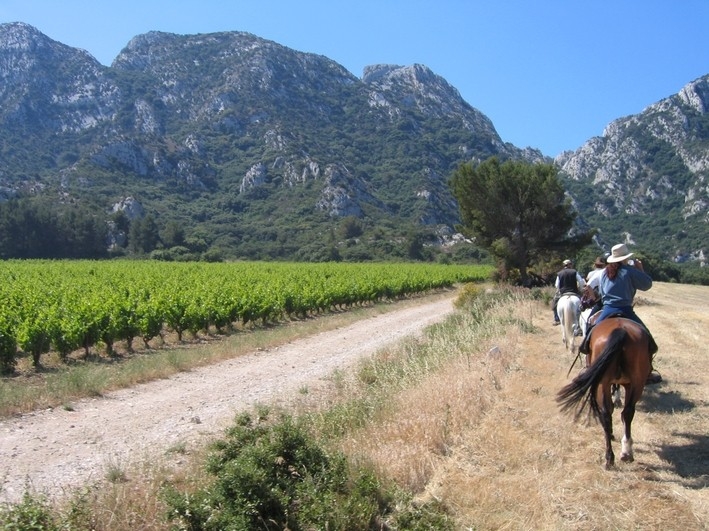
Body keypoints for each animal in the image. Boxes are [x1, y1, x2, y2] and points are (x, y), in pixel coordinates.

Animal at [556, 316, 648, 470]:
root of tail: (621, 331)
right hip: (633, 383)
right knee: (624, 412)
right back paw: (623, 453)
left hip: (606, 383)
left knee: (609, 413)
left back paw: (612, 456)